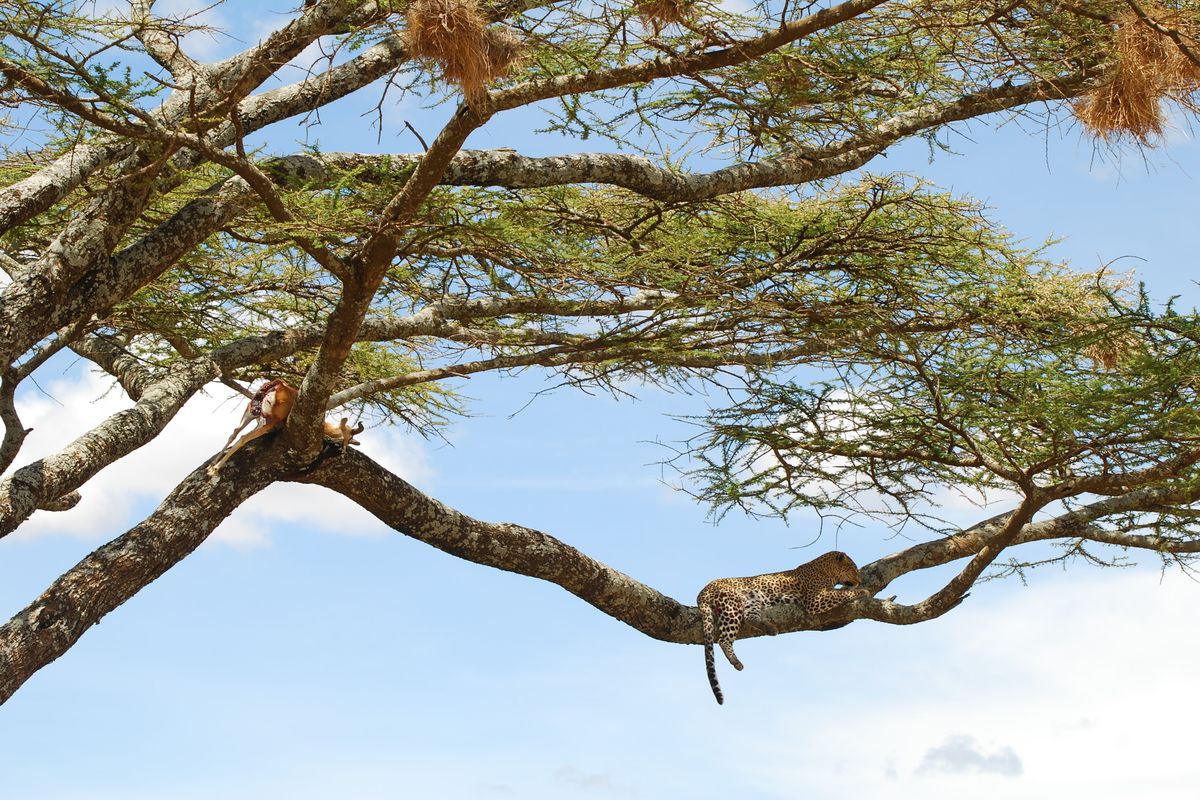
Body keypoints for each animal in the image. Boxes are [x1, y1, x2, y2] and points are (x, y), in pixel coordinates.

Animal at [696, 550, 863, 704]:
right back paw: (736, 662)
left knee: (749, 618)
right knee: (723, 639)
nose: (860, 581)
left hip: (752, 600)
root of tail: (702, 592)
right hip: (732, 605)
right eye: (853, 568)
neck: (826, 571)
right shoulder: (814, 600)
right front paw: (862, 591)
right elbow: (839, 594)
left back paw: (770, 628)